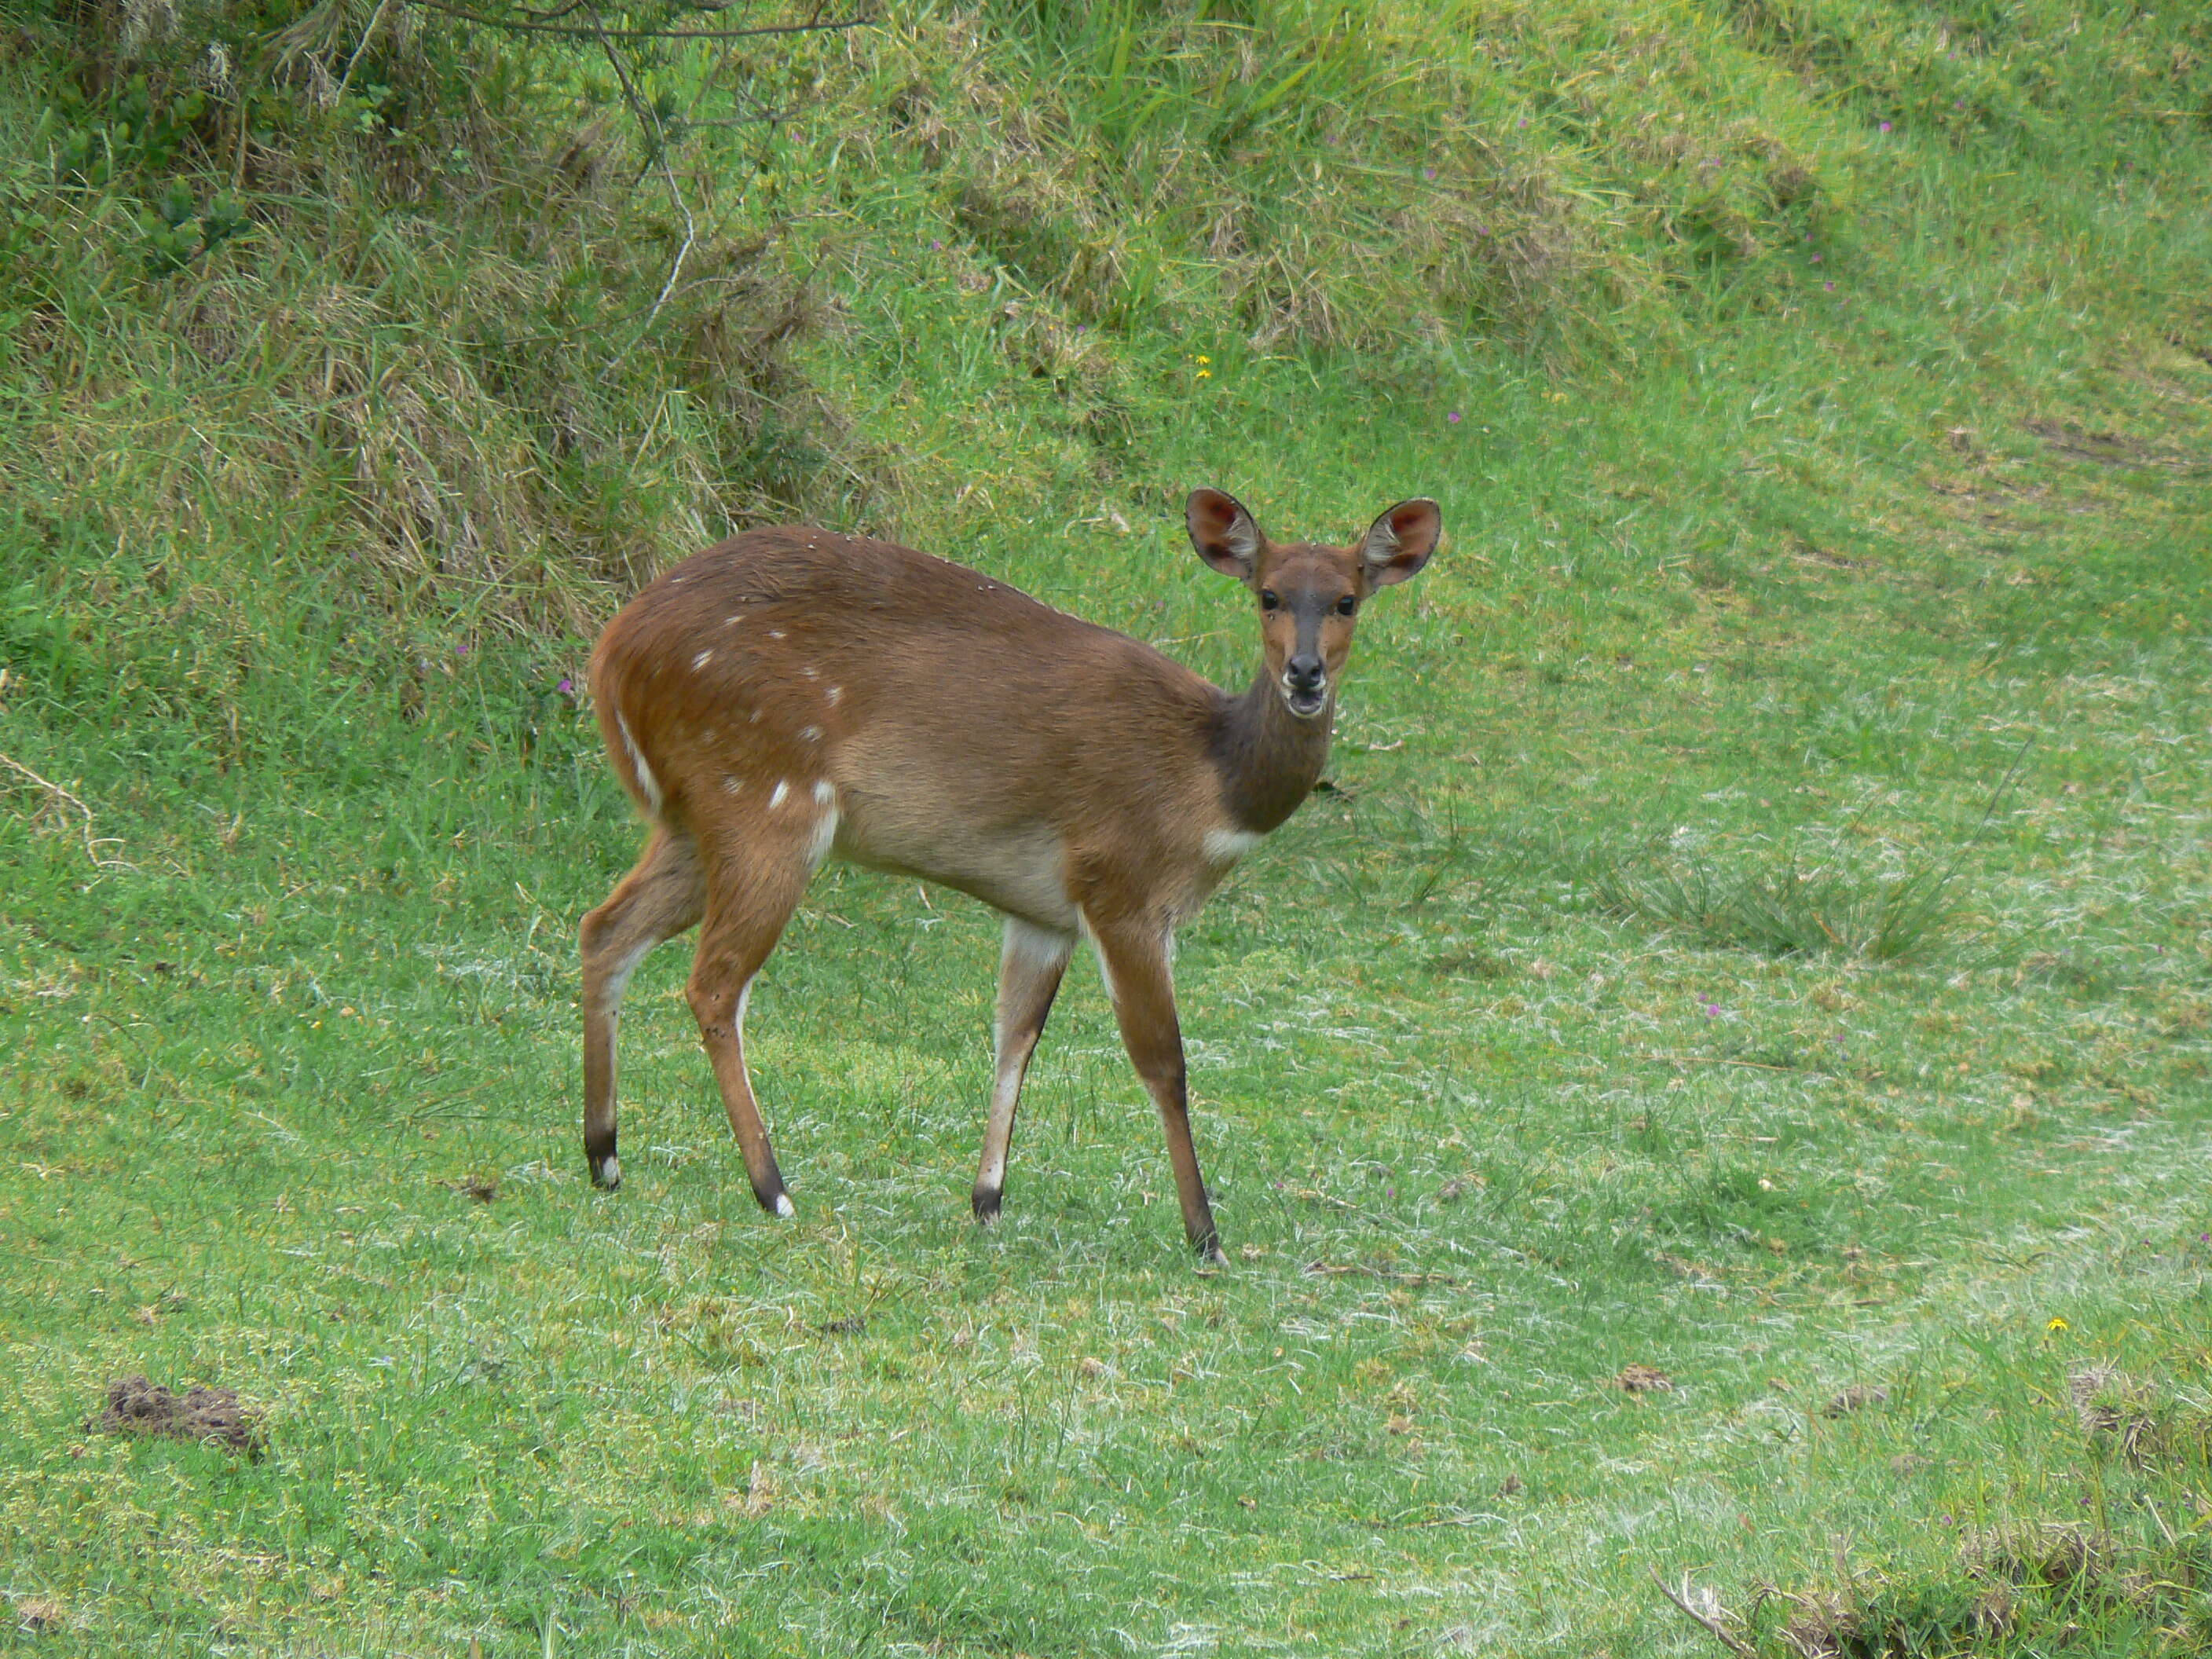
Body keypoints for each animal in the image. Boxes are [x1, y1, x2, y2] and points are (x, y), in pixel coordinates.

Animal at [579, 486, 1442, 1265]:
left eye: (1346, 600)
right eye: (1267, 594)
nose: (1304, 674)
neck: (1208, 781)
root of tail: (610, 656)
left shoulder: (1042, 913)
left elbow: (1015, 1035)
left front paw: (987, 1201)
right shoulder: (1120, 887)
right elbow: (1163, 1059)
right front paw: (1205, 1236)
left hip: (691, 823)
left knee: (603, 928)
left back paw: (604, 1156)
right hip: (765, 807)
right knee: (714, 981)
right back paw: (773, 1187)